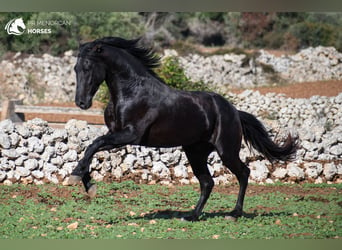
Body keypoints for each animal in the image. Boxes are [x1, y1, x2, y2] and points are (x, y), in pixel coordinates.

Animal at [68, 36, 298, 221]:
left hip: (226, 151)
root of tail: (234, 111)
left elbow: (94, 144)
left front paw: (76, 175)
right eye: (75, 69)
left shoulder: (129, 135)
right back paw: (192, 216)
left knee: (243, 173)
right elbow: (92, 148)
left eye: (88, 67)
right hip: (195, 152)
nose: (81, 103)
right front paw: (88, 185)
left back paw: (234, 213)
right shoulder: (116, 135)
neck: (132, 92)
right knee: (207, 182)